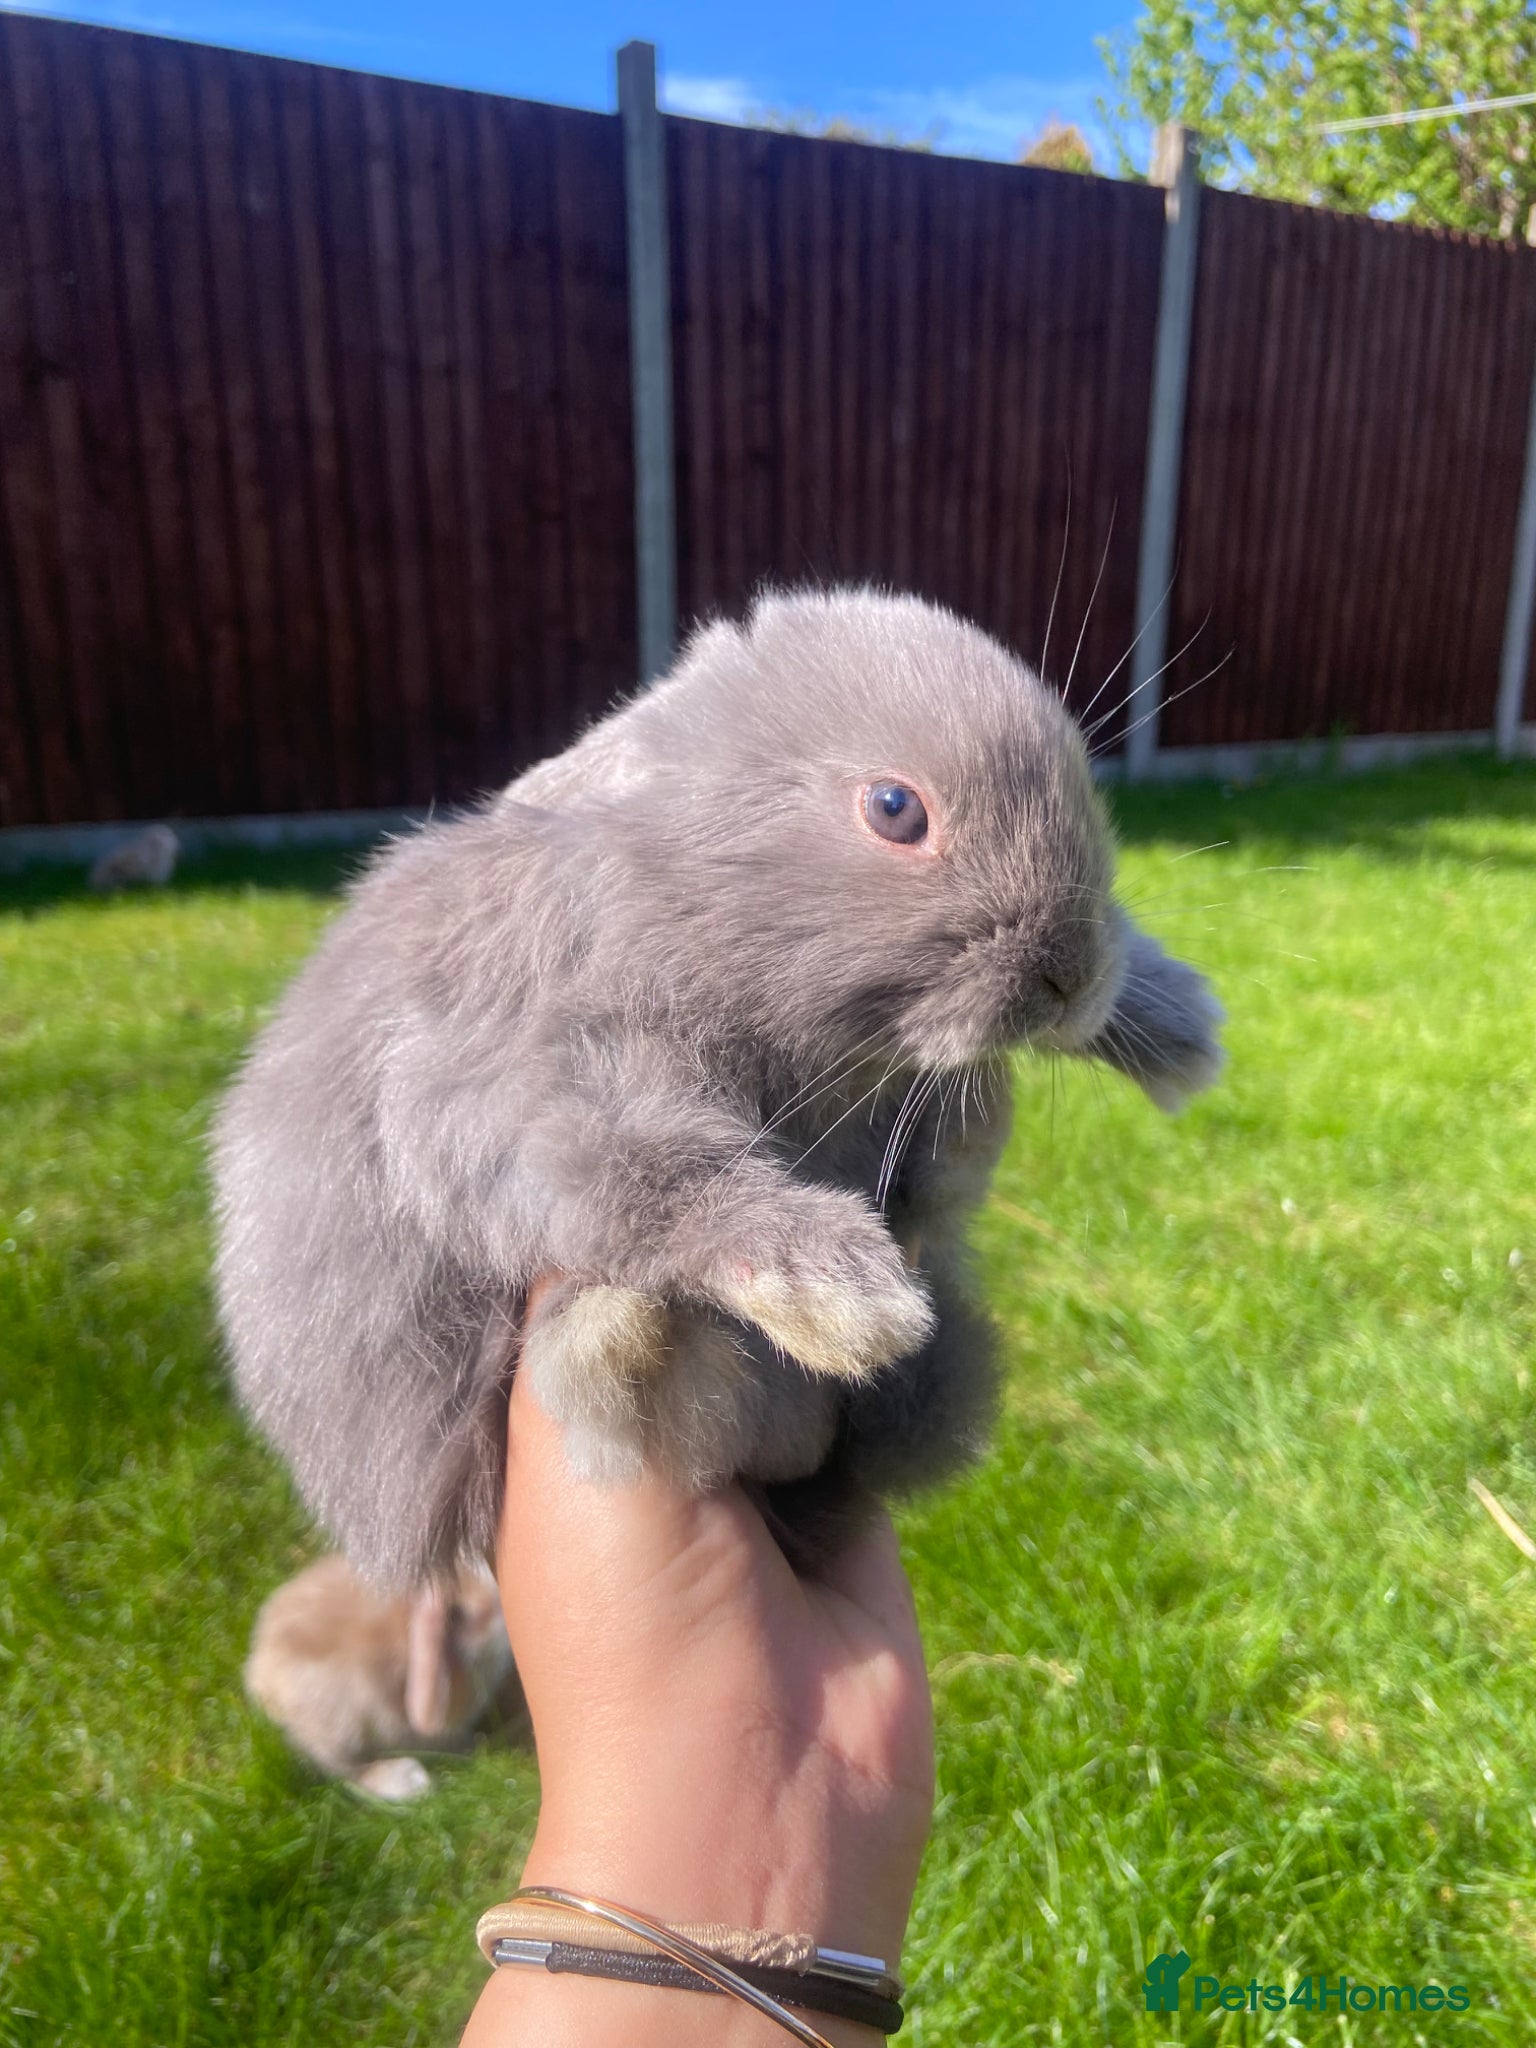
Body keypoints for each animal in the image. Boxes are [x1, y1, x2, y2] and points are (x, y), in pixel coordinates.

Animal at [213, 586, 1223, 1590]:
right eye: (896, 809)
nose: (1073, 976)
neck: (686, 879)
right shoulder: (525, 1082)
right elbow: (666, 1177)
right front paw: (845, 1295)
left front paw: (1180, 1027)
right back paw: (628, 1339)